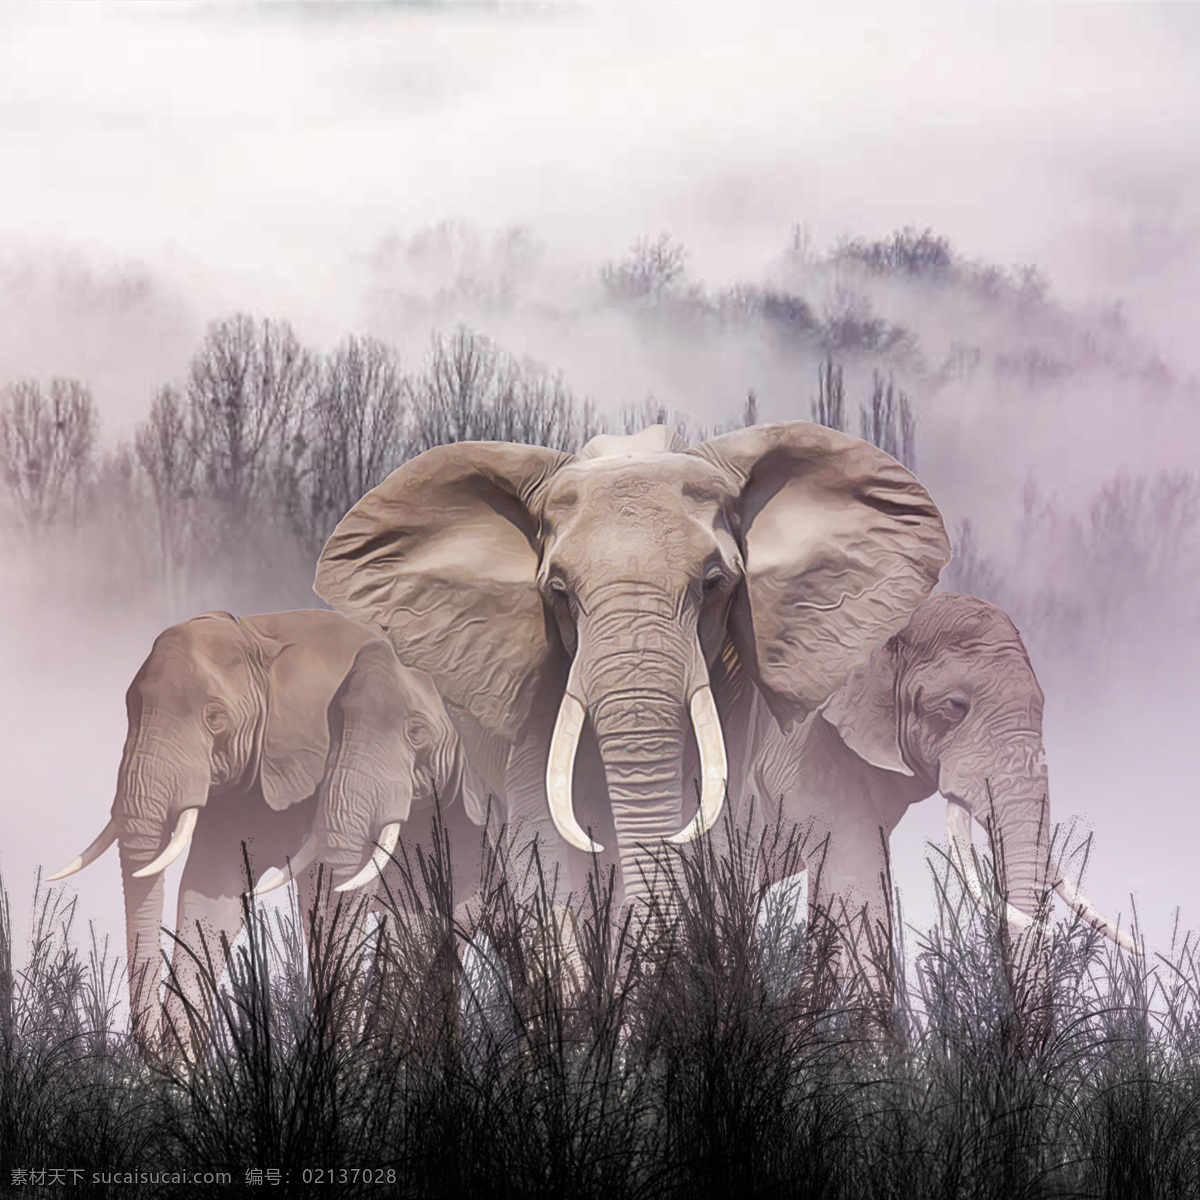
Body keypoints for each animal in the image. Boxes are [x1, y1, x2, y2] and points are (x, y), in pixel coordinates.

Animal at [46, 609, 477, 1060]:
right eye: (130, 711)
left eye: (215, 718)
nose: (153, 1053)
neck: (261, 642)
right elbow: (207, 895)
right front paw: (180, 1069)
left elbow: (323, 896)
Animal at [744, 590, 1137, 1051]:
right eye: (954, 706)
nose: (1003, 1039)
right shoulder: (804, 750)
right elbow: (861, 885)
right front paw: (881, 1066)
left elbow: (835, 898)